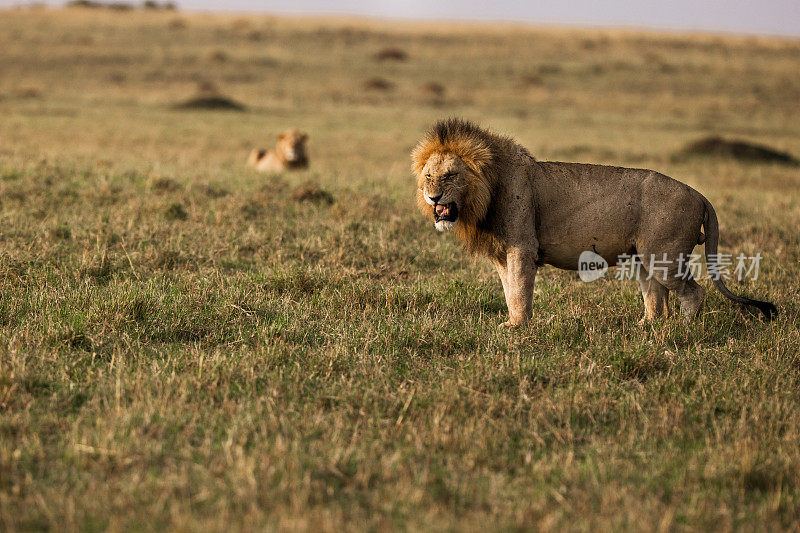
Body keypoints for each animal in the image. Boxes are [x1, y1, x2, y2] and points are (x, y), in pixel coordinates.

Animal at [412, 118, 776, 326]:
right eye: (429, 175)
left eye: (451, 174)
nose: (432, 197)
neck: (486, 191)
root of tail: (700, 194)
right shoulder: (503, 254)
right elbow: (509, 290)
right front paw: (512, 324)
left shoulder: (522, 248)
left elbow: (519, 290)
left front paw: (518, 330)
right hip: (647, 258)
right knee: (657, 300)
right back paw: (647, 327)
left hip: (666, 256)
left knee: (693, 293)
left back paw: (683, 332)